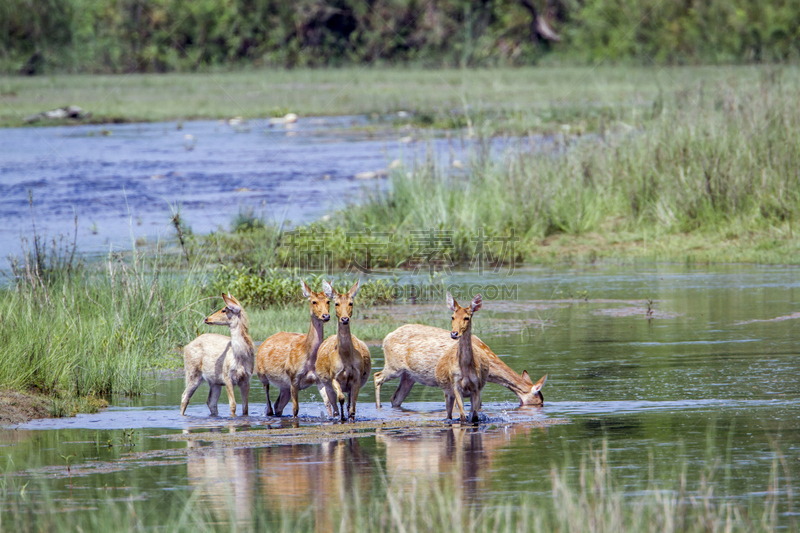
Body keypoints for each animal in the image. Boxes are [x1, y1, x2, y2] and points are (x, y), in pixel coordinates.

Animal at [256, 278, 332, 416]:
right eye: (313, 301)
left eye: (328, 301)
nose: (326, 316)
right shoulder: (294, 377)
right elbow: (295, 409)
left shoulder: (319, 378)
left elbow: (328, 404)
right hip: (261, 374)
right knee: (269, 406)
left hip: (283, 386)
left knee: (278, 405)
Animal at [316, 278, 372, 420]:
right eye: (336, 303)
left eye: (351, 303)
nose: (345, 318)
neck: (346, 358)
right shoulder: (334, 376)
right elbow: (340, 398)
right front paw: (342, 418)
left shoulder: (357, 377)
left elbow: (352, 407)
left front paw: (349, 417)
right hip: (326, 384)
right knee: (333, 405)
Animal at [378, 324, 548, 408]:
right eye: (539, 402)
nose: (541, 406)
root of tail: (385, 339)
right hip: (393, 366)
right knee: (377, 377)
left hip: (409, 377)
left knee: (395, 398)